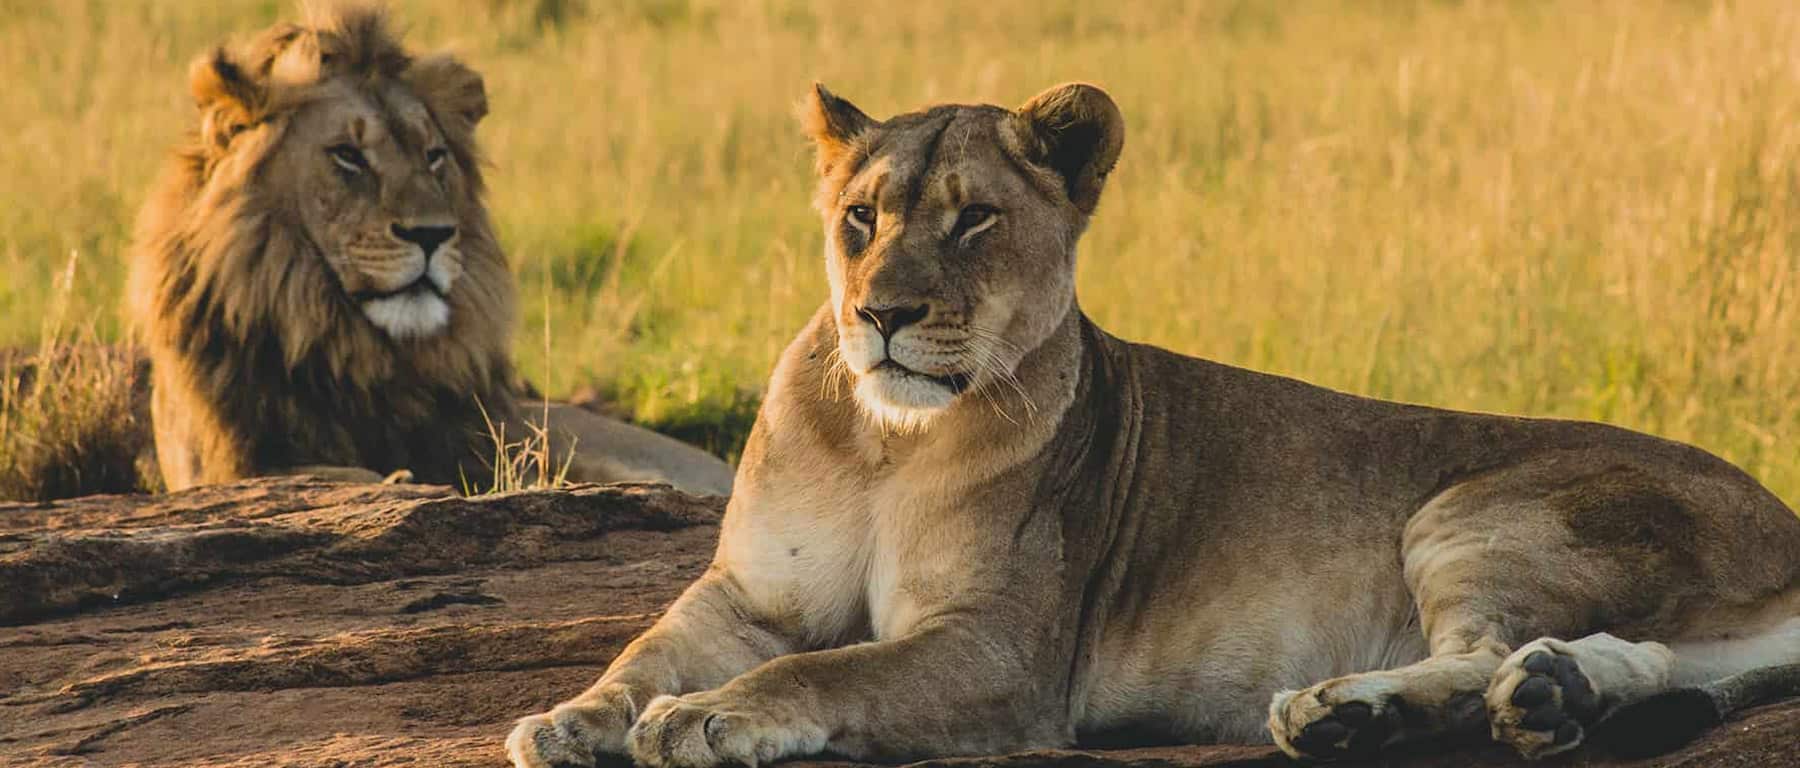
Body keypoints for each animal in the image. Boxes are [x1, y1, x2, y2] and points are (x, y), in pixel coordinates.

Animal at [506, 83, 1800, 767]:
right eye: (860, 219)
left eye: (974, 221)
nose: (882, 314)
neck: (886, 443)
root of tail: (1784, 521)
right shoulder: (748, 596)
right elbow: (646, 650)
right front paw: (568, 720)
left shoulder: (1003, 654)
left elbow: (833, 668)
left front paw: (710, 716)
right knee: (1636, 659)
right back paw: (1545, 699)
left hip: (1474, 509)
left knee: (1486, 649)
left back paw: (1352, 711)